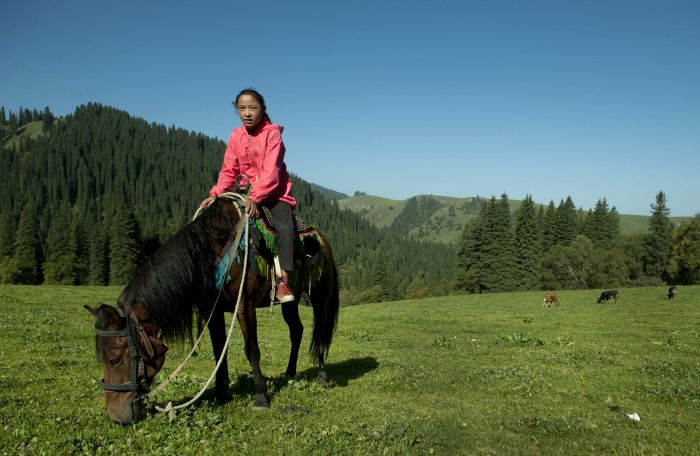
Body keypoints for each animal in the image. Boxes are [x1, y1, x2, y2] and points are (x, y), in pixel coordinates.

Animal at [83, 196, 340, 424]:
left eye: (115, 359)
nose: (116, 416)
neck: (211, 252)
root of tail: (322, 239)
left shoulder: (244, 305)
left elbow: (252, 350)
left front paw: (260, 397)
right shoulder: (211, 310)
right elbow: (219, 351)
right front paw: (220, 394)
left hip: (320, 296)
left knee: (319, 333)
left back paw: (323, 375)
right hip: (291, 302)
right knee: (296, 330)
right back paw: (290, 372)